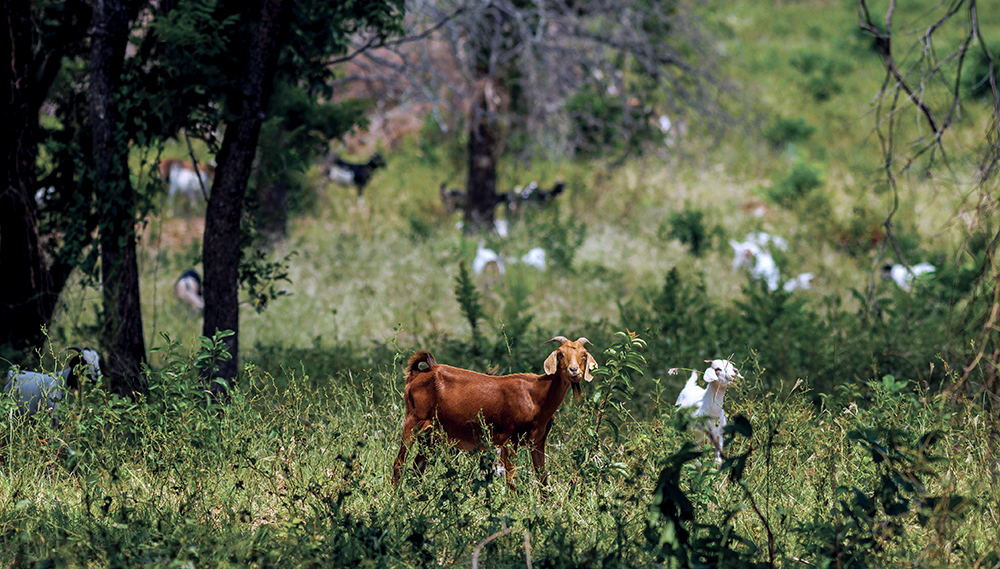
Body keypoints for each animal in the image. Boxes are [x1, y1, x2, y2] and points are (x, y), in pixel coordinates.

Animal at [392, 336, 597, 487]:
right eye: (560, 354)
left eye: (584, 355)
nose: (574, 371)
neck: (536, 396)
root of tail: (416, 375)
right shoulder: (509, 440)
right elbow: (512, 480)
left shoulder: (538, 442)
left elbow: (542, 479)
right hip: (412, 422)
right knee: (398, 463)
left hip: (430, 436)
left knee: (417, 467)